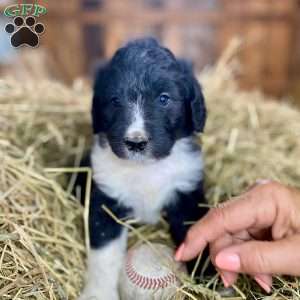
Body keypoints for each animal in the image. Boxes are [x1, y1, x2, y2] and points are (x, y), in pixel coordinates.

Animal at [79, 38, 209, 300]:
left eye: (163, 99)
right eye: (115, 101)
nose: (135, 142)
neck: (146, 169)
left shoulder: (187, 196)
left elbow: (197, 237)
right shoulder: (106, 202)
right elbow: (104, 256)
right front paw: (98, 293)